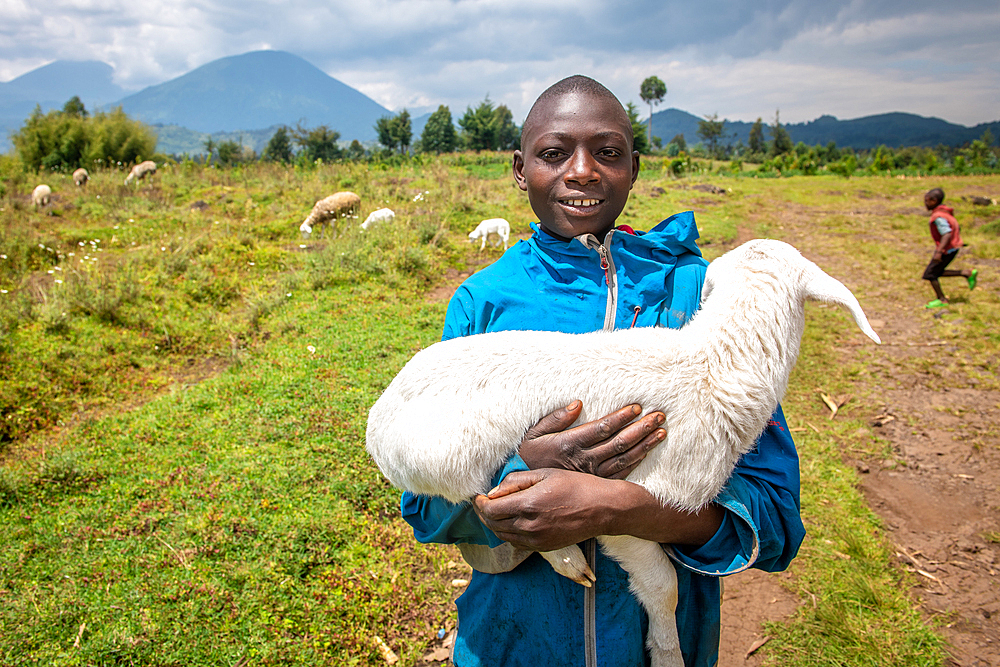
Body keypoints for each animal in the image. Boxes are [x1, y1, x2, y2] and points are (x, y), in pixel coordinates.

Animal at [366, 240, 876, 667]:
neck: (715, 359)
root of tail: (376, 425)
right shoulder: (636, 499)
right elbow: (664, 586)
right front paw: (668, 654)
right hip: (447, 459)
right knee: (480, 498)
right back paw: (567, 558)